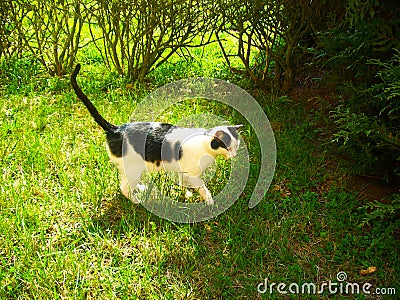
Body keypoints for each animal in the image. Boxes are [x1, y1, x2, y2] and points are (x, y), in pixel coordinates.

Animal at [70, 64, 241, 205]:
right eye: (227, 147)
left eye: (236, 147)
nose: (234, 155)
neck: (205, 145)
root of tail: (116, 129)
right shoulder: (193, 174)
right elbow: (203, 189)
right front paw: (210, 202)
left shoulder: (183, 171)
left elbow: (182, 183)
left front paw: (185, 195)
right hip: (133, 167)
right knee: (124, 187)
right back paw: (136, 201)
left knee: (126, 181)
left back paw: (140, 188)